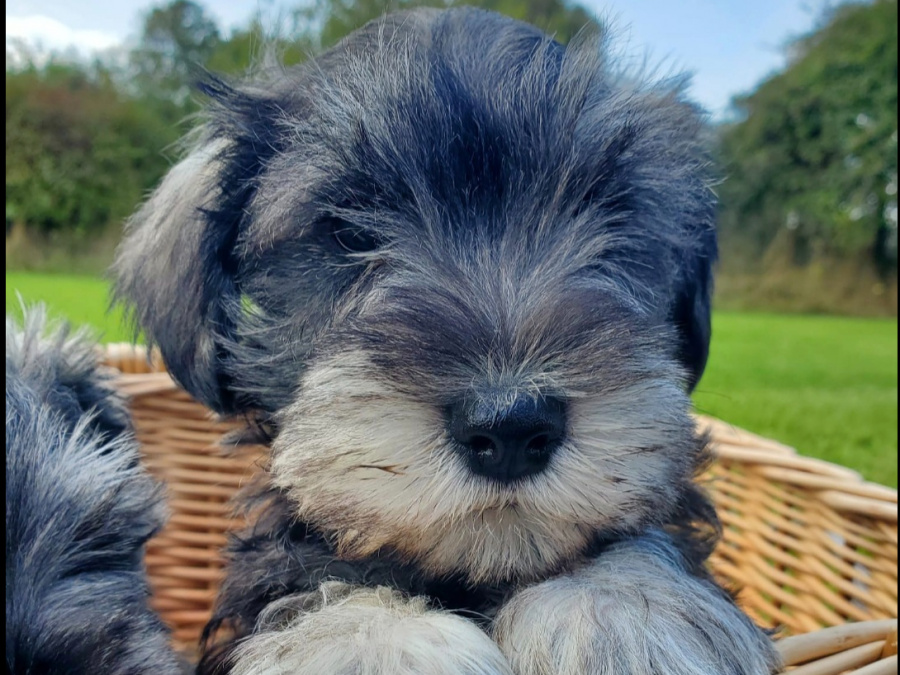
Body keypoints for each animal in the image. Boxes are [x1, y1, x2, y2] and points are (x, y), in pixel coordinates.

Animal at [116, 6, 784, 675]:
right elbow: (313, 582)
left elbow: (645, 540)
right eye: (348, 231)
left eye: (613, 214)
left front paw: (621, 615)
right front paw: (371, 641)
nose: (511, 425)